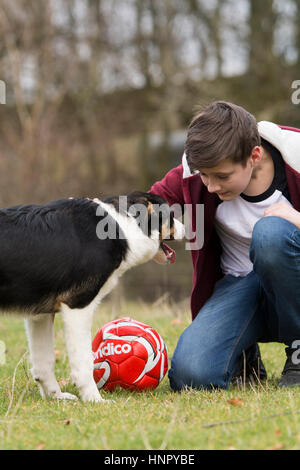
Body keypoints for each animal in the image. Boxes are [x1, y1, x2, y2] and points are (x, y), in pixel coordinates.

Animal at [0, 189, 184, 402]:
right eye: (171, 215)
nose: (187, 228)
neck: (122, 226)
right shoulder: (78, 306)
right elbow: (84, 362)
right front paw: (94, 399)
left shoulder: (40, 315)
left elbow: (44, 362)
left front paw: (56, 397)